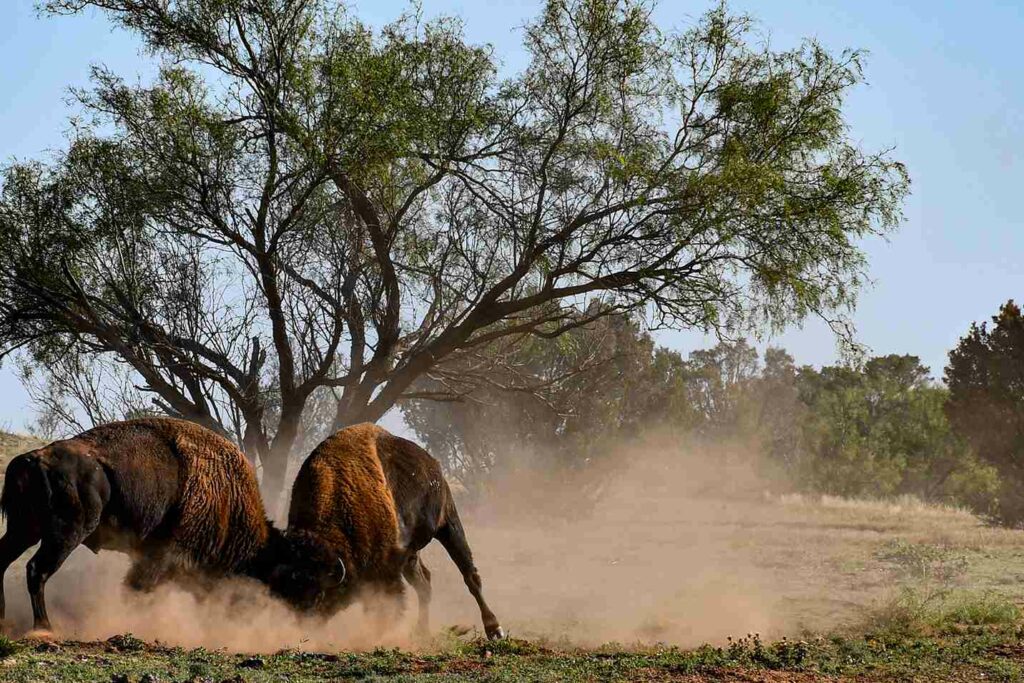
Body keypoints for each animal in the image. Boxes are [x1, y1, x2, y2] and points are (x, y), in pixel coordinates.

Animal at [0, 413, 344, 634]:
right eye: (301, 580)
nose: (305, 621)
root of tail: (32, 458)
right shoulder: (164, 557)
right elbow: (138, 590)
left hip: (24, 529)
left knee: (4, 561)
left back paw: (5, 619)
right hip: (64, 533)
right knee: (37, 570)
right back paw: (44, 628)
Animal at [286, 421, 505, 643]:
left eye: (319, 595)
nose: (306, 626)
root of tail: (434, 466)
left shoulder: (386, 570)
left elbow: (386, 605)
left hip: (448, 524)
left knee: (470, 576)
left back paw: (494, 629)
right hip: (412, 554)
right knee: (425, 584)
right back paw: (421, 632)